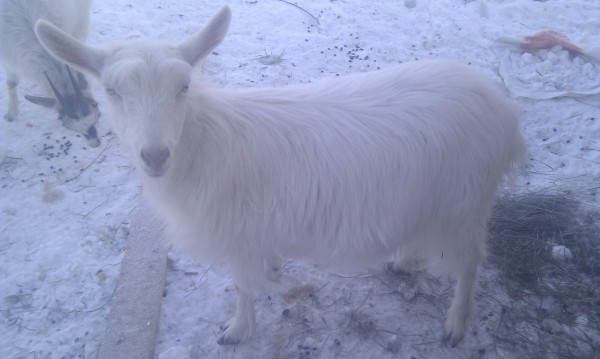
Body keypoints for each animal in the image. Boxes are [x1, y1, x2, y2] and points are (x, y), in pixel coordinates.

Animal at [0, 0, 99, 148]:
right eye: (65, 124)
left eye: (97, 109)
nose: (95, 143)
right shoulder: (9, 57)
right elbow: (12, 83)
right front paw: (11, 113)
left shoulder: (76, 25)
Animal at [36, 5, 524, 348]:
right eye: (111, 91)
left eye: (183, 87)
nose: (155, 155)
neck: (202, 144)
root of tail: (500, 103)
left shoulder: (238, 234)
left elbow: (242, 286)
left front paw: (236, 330)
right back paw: (404, 261)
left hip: (464, 202)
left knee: (471, 262)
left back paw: (456, 325)